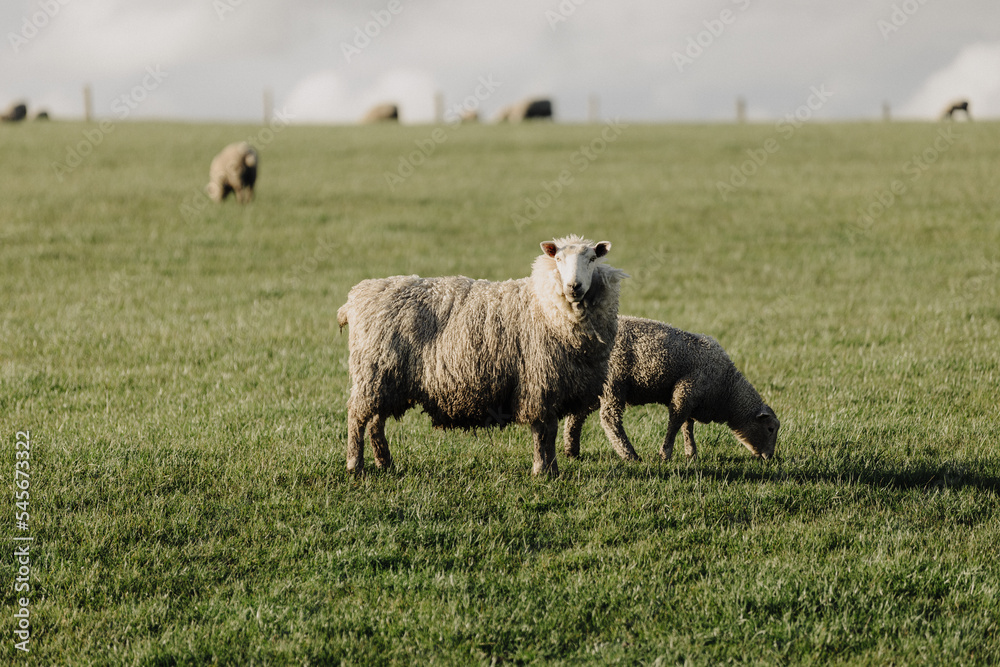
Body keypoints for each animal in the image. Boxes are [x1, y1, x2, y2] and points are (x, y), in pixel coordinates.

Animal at [337, 235, 627, 476]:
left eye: (592, 259)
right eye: (558, 259)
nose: (574, 286)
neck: (544, 305)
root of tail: (355, 297)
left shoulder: (551, 386)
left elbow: (550, 432)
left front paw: (551, 469)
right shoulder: (537, 381)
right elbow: (542, 431)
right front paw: (542, 471)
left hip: (386, 376)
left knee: (375, 421)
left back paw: (384, 462)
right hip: (373, 370)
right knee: (357, 417)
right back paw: (355, 465)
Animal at [563, 316, 779, 462]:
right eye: (770, 429)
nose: (769, 457)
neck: (727, 389)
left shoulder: (691, 398)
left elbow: (687, 426)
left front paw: (691, 453)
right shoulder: (685, 392)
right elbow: (675, 424)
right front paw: (665, 454)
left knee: (576, 415)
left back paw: (571, 450)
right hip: (613, 382)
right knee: (609, 419)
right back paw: (629, 454)